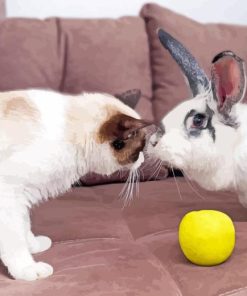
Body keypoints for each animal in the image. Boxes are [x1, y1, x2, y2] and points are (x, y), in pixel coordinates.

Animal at [0, 87, 150, 280]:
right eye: (139, 149)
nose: (143, 160)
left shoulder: (22, 195)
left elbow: (25, 226)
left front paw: (34, 246)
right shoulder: (9, 194)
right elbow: (16, 240)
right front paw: (28, 269)